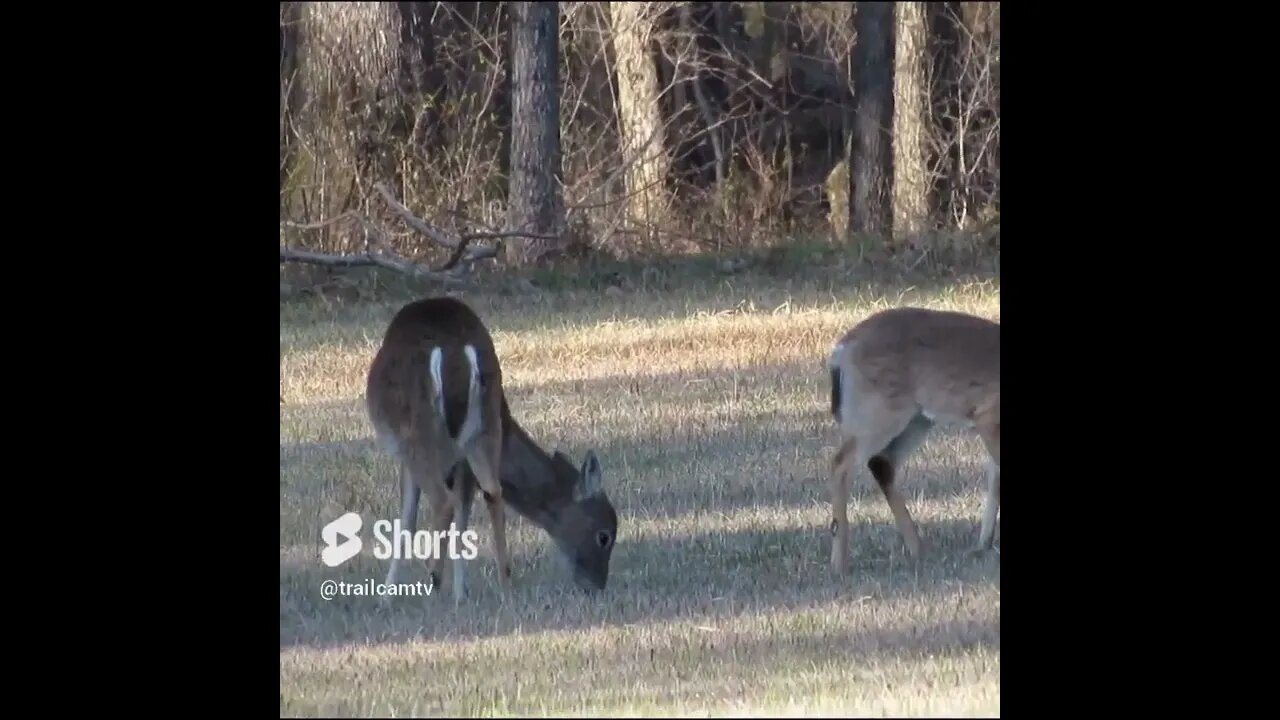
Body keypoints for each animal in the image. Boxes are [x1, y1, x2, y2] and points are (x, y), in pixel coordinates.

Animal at [366, 293, 619, 599]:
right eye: (604, 536)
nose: (597, 585)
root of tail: (456, 352)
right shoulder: (463, 464)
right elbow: (462, 517)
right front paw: (460, 594)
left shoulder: (408, 455)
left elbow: (408, 518)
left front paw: (388, 595)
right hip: (483, 429)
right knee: (492, 491)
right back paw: (504, 584)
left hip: (419, 435)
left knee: (442, 500)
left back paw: (434, 583)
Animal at [829, 303, 998, 571]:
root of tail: (840, 350)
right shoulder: (988, 415)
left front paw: (983, 547)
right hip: (878, 414)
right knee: (841, 464)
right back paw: (839, 563)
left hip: (915, 420)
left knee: (881, 463)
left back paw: (918, 550)